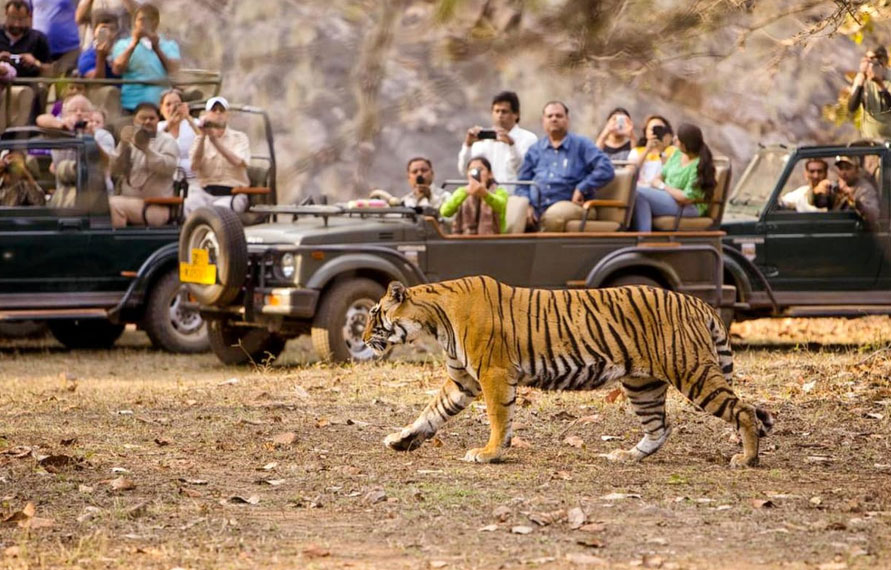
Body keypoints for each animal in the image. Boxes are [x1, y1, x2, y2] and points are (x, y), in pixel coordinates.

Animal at [362, 276, 772, 466]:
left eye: (374, 315)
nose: (364, 338)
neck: (434, 319)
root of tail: (697, 301)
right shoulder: (462, 380)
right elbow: (431, 412)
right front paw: (401, 439)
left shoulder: (493, 374)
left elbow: (498, 418)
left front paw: (490, 453)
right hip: (643, 384)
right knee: (660, 426)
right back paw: (627, 456)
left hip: (692, 371)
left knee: (743, 410)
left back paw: (747, 459)